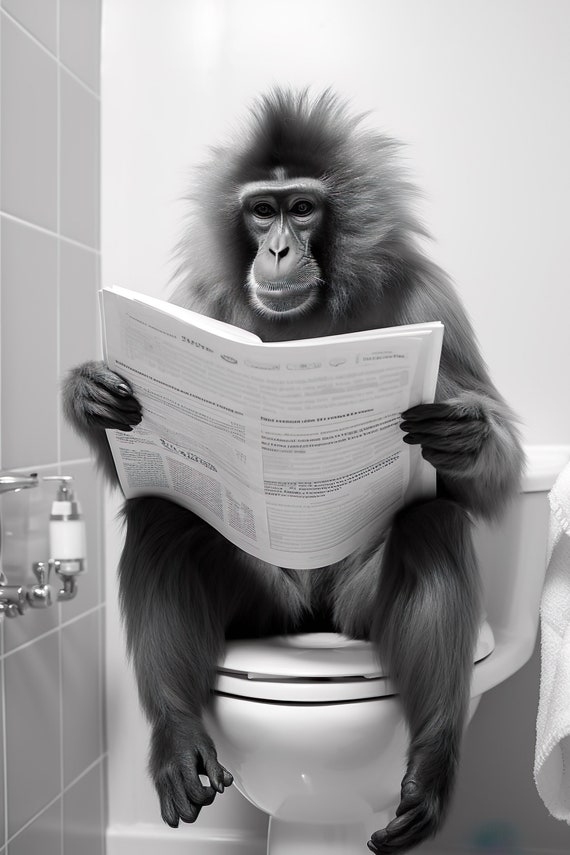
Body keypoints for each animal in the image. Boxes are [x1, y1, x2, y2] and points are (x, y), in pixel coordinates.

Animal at [63, 89, 524, 853]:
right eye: (261, 211)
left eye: (302, 208)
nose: (278, 248)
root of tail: (310, 621)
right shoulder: (199, 303)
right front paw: (88, 393)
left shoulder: (427, 299)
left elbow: (498, 472)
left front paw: (465, 437)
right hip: (263, 610)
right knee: (163, 514)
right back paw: (179, 736)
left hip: (353, 616)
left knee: (432, 521)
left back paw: (430, 764)